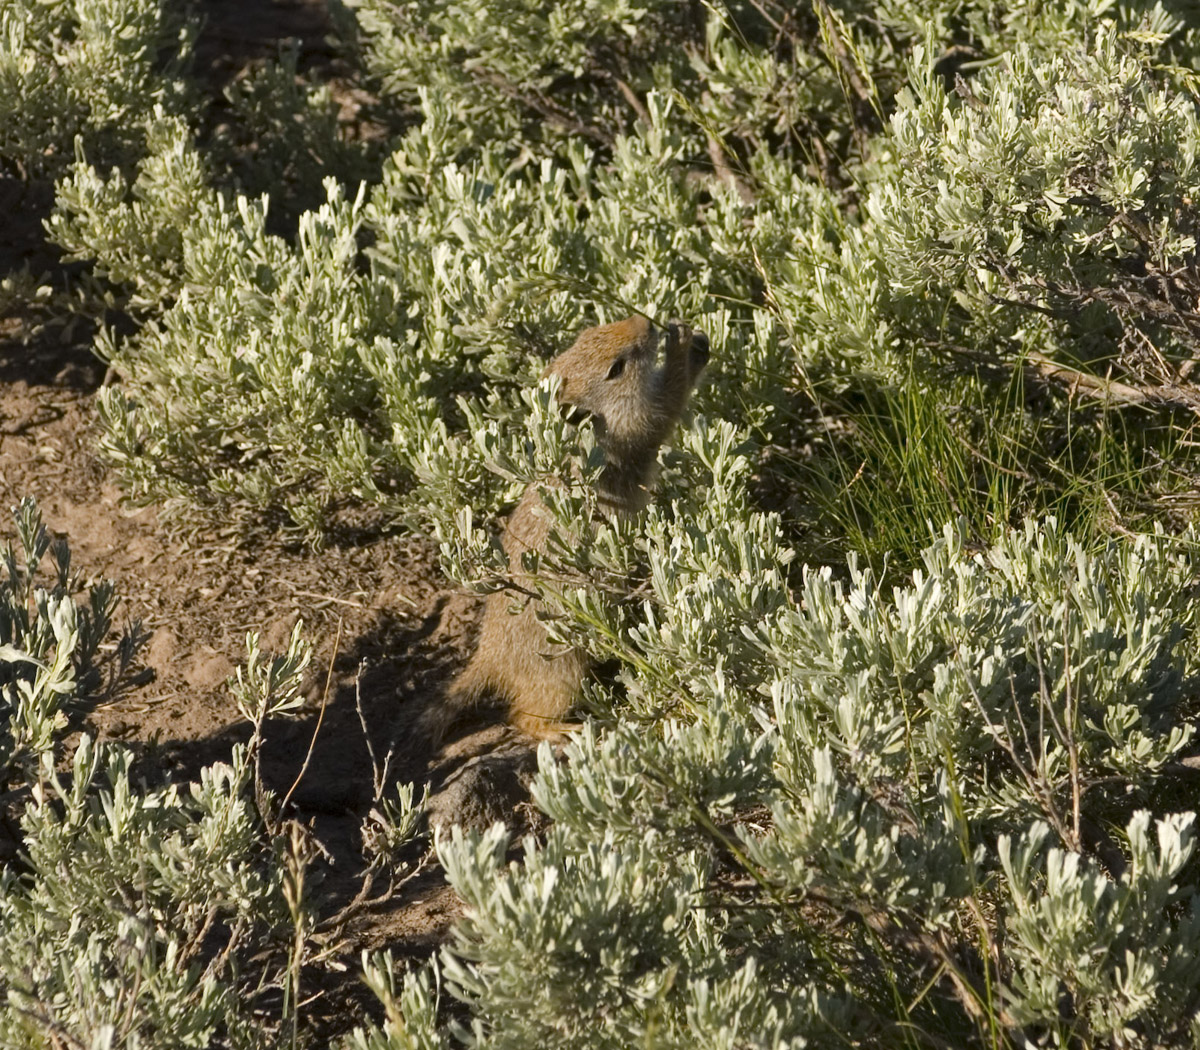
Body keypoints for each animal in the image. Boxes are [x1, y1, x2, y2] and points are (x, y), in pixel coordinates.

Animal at [448, 316, 710, 744]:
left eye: (589, 333)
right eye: (616, 368)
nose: (645, 322)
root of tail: (489, 656)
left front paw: (697, 344)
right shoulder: (643, 424)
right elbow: (671, 397)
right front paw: (681, 344)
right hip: (563, 675)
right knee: (523, 718)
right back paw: (570, 730)